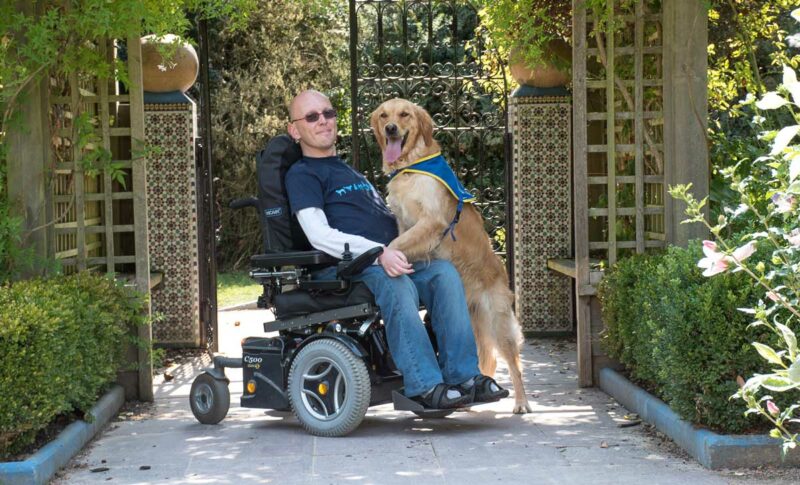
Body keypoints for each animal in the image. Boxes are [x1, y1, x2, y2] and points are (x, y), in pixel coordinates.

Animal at [374, 98, 532, 412]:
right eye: (384, 115)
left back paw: (521, 403)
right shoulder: (403, 221)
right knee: (485, 362)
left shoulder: (431, 221)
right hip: (470, 327)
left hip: (497, 323)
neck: (410, 167)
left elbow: (395, 245)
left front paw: (377, 259)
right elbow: (399, 243)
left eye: (404, 114)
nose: (390, 128)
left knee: (514, 363)